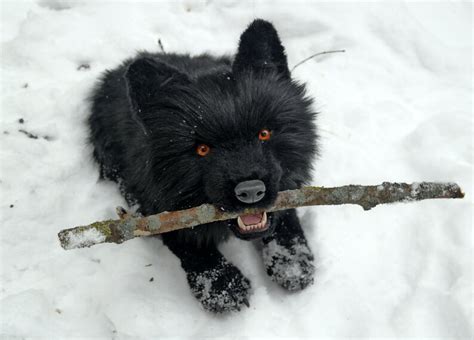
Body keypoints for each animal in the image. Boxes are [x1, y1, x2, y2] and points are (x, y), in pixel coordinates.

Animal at [89, 17, 318, 310]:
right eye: (202, 149)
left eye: (264, 133)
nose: (251, 191)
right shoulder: (150, 201)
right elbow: (185, 237)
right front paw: (222, 284)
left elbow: (286, 212)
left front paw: (291, 261)